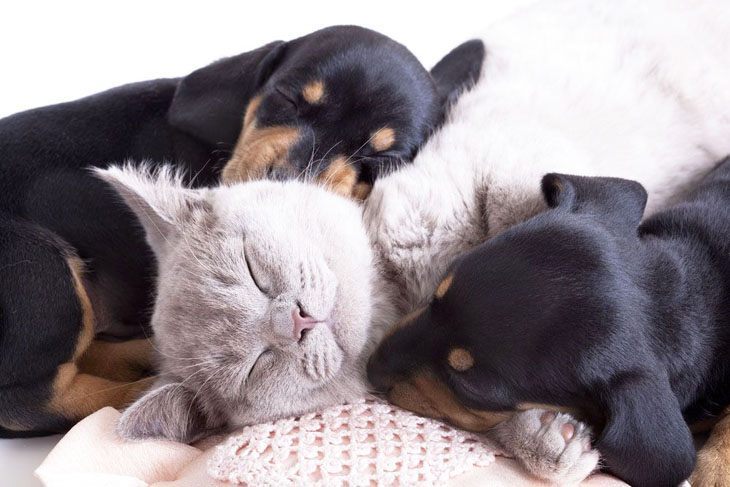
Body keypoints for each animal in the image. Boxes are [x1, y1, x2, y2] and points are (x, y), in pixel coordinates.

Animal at [96, 165, 596, 484]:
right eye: (255, 366)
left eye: (252, 269)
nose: (294, 320)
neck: (401, 297)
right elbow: (461, 404)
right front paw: (548, 440)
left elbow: (509, 196)